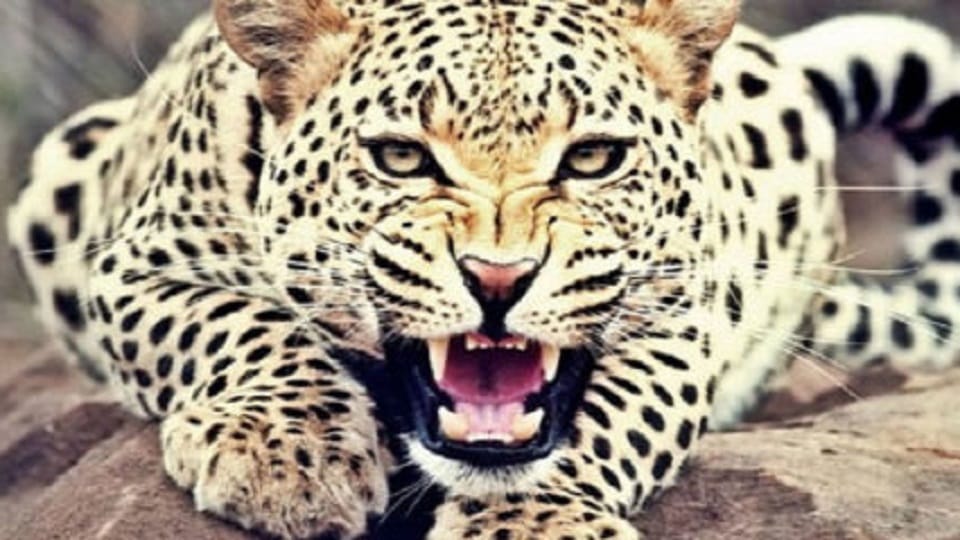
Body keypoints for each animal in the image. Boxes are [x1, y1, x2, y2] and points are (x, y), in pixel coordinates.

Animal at [7, 1, 960, 538]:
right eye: (399, 157)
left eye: (593, 158)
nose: (499, 279)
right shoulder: (135, 265)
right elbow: (246, 325)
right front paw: (287, 453)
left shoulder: (681, 311)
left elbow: (607, 419)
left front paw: (531, 524)